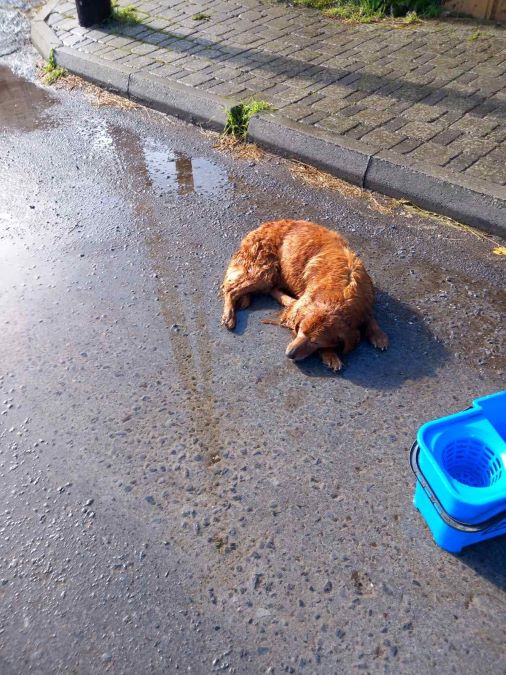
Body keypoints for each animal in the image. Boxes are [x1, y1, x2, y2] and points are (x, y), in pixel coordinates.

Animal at [221, 220, 388, 370]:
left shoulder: (365, 302)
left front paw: (378, 335)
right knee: (231, 290)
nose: (289, 354)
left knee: (270, 289)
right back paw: (229, 316)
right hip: (265, 272)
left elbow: (370, 317)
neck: (343, 291)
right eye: (300, 330)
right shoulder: (298, 310)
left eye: (315, 342)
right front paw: (331, 355)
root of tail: (260, 227)